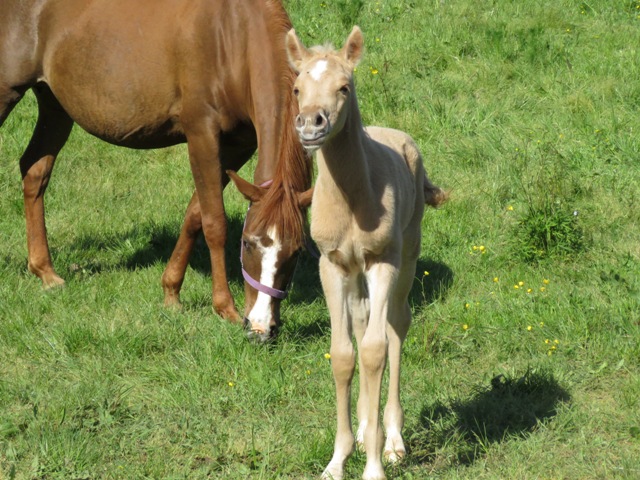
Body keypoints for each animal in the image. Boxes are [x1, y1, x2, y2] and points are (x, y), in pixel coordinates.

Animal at [0, 0, 310, 330]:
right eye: (248, 244)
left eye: (296, 251)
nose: (262, 328)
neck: (233, 38)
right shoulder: (202, 135)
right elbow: (214, 223)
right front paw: (224, 307)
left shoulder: (237, 146)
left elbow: (194, 214)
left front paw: (171, 292)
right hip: (7, 94)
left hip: (55, 105)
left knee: (34, 172)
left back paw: (45, 272)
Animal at [284, 27, 444, 480]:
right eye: (297, 88)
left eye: (344, 87)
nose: (310, 124)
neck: (354, 198)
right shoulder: (332, 265)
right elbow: (343, 355)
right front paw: (337, 460)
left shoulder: (382, 262)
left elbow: (375, 351)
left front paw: (374, 464)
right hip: (355, 276)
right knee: (360, 325)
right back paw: (362, 430)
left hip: (407, 256)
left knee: (395, 327)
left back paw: (391, 439)